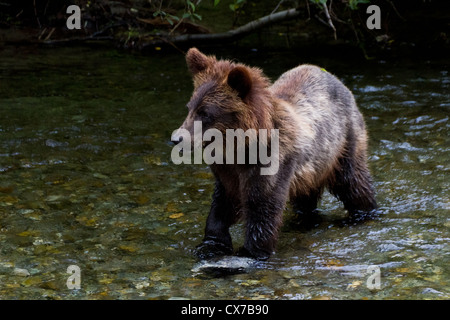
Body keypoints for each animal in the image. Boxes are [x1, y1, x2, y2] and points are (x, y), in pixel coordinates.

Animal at [171, 48, 376, 262]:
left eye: (205, 113)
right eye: (190, 108)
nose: (176, 138)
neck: (240, 148)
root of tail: (333, 77)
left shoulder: (272, 164)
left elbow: (262, 209)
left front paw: (251, 253)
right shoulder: (227, 172)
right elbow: (221, 206)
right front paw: (210, 245)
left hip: (343, 143)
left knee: (353, 182)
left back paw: (362, 214)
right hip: (310, 169)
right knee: (306, 198)